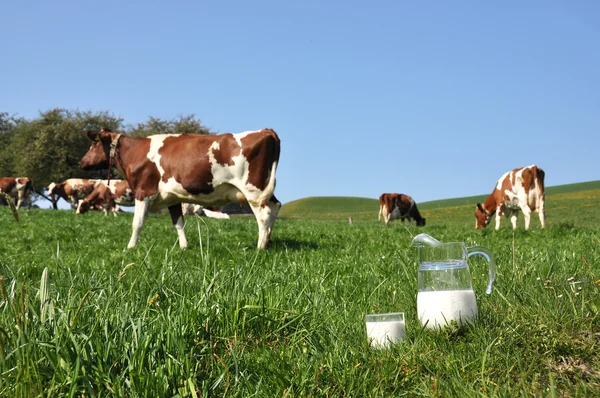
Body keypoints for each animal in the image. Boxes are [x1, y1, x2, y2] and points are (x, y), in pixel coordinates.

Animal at [78, 128, 282, 249]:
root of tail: (267, 131)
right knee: (275, 207)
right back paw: (268, 240)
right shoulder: (172, 198)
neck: (136, 152)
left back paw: (260, 247)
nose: (81, 162)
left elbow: (137, 223)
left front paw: (130, 247)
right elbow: (179, 223)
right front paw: (184, 246)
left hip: (253, 189)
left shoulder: (144, 192)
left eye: (94, 144)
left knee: (264, 215)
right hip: (263, 189)